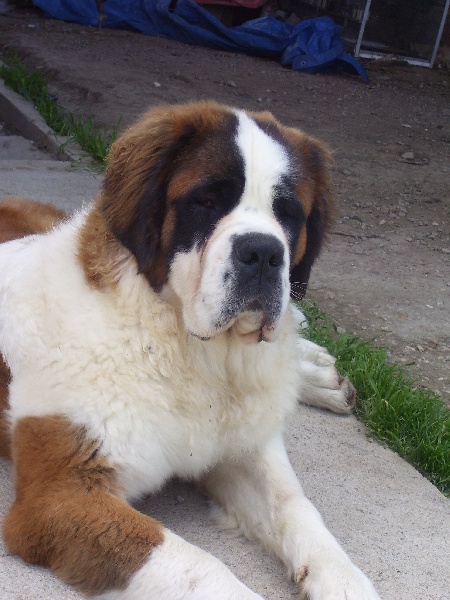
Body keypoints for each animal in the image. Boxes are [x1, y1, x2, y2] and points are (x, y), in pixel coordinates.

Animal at [0, 101, 380, 599]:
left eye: (288, 213)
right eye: (206, 201)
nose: (264, 252)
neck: (189, 349)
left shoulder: (245, 445)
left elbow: (294, 505)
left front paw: (344, 579)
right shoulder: (63, 495)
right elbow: (200, 566)